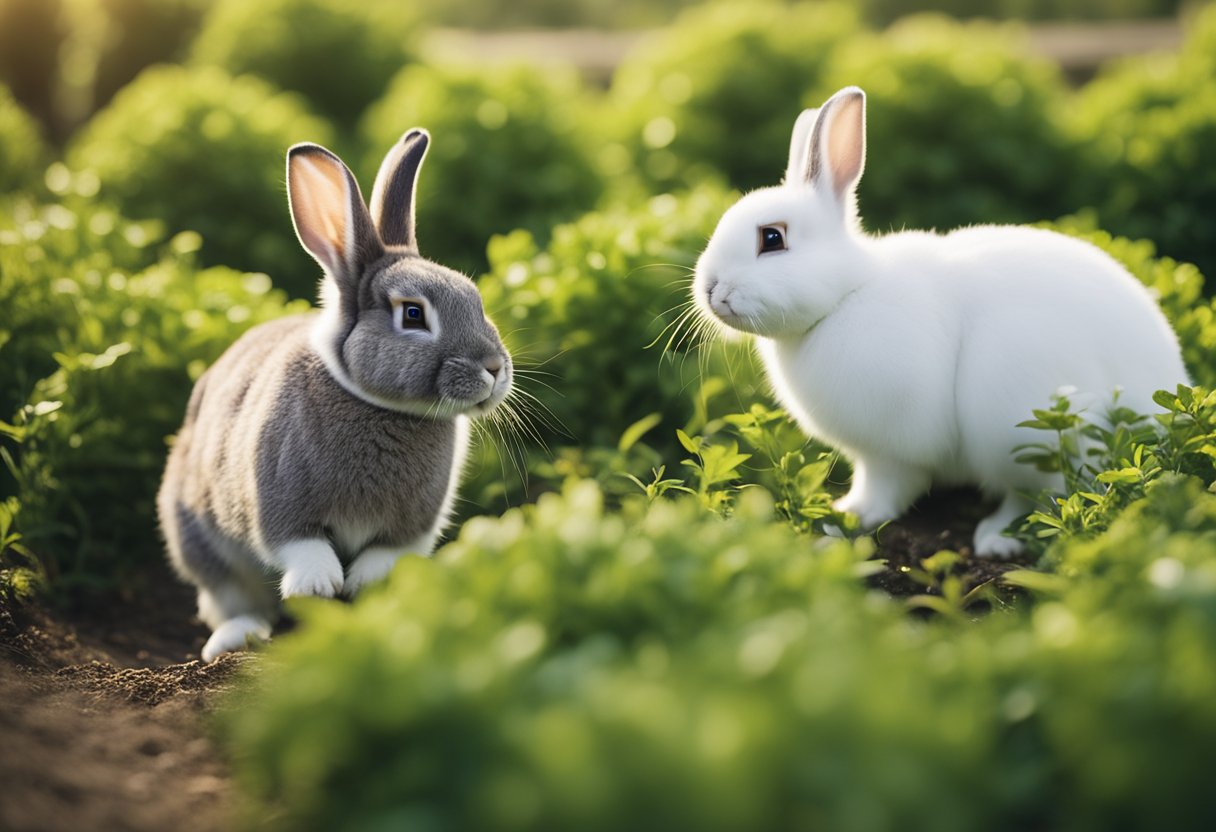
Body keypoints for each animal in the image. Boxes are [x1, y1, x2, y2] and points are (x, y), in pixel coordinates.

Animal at [157, 129, 513, 661]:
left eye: (475, 298)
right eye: (413, 314)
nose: (493, 368)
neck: (379, 405)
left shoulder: (410, 528)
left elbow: (385, 556)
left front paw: (360, 586)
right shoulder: (279, 503)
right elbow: (300, 546)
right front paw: (319, 586)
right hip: (198, 539)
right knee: (232, 597)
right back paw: (237, 637)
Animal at [693, 86, 1189, 557]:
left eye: (772, 238)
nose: (711, 291)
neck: (847, 293)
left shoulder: (892, 450)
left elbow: (887, 489)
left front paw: (846, 519)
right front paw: (842, 514)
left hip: (1020, 421)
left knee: (1041, 494)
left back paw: (996, 537)